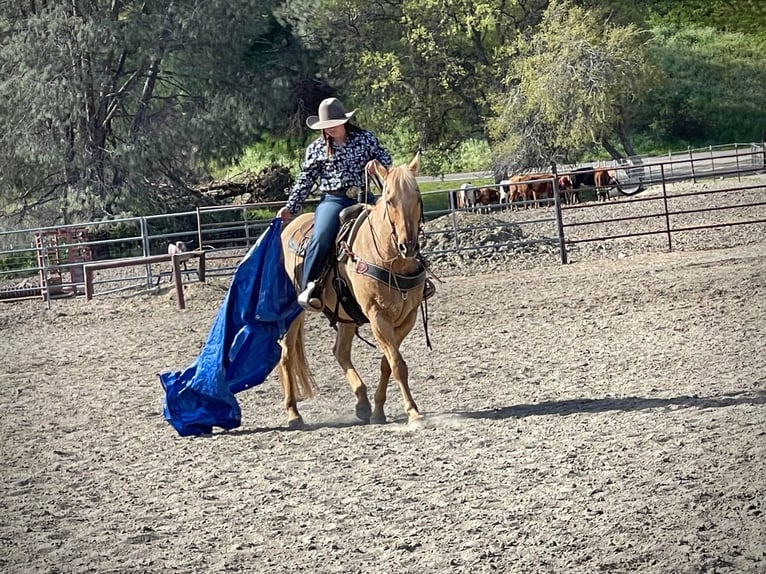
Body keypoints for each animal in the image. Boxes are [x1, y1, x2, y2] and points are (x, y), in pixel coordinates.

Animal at [278, 153, 432, 428]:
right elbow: (397, 363)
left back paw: (362, 403)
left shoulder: (408, 317)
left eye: (417, 198)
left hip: (346, 315)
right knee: (286, 353)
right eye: (389, 200)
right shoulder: (377, 315)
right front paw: (413, 412)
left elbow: (387, 363)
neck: (391, 260)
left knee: (340, 351)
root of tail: (291, 226)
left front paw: (378, 411)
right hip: (294, 310)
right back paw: (294, 414)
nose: (409, 247)